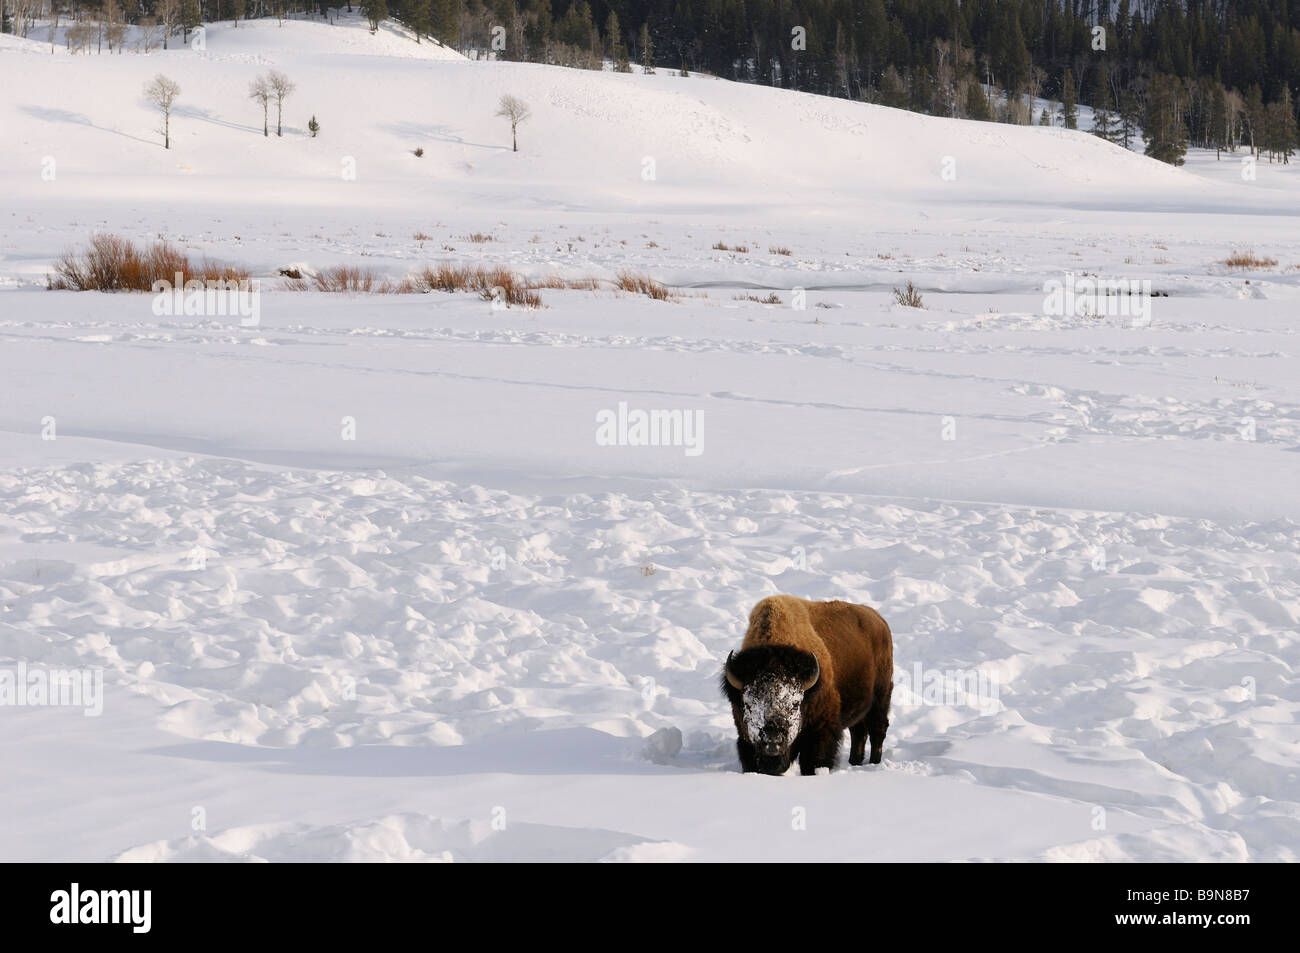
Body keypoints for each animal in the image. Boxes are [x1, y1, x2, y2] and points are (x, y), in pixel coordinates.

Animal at [722, 595, 894, 774]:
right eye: (748, 705)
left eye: (795, 704)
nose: (772, 741)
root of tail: (879, 620)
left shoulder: (820, 730)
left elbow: (814, 760)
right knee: (859, 732)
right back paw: (854, 762)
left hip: (881, 698)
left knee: (877, 729)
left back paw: (874, 762)